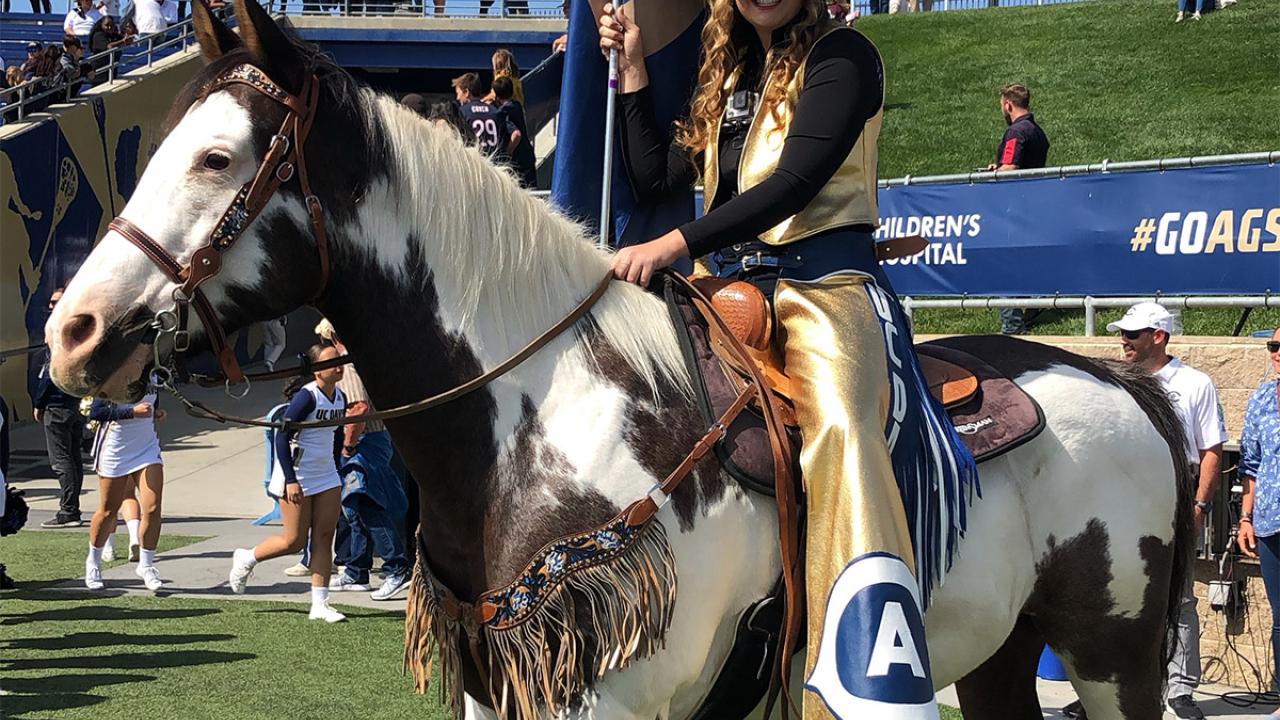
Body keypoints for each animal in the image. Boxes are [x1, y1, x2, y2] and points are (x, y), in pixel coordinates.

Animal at [42, 2, 1198, 712]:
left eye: (216, 157)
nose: (72, 332)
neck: (534, 418)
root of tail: (1122, 384)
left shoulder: (607, 694)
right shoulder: (501, 687)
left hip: (1112, 656)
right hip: (1003, 656)